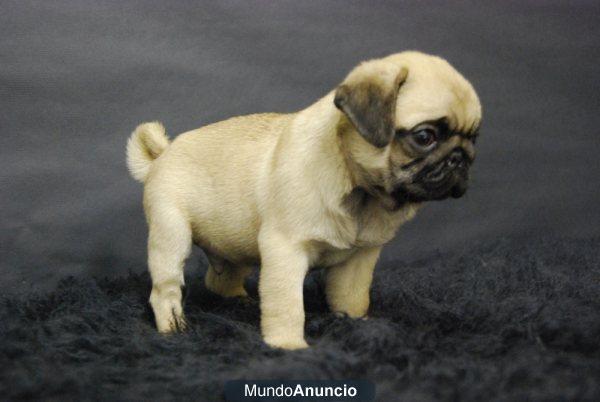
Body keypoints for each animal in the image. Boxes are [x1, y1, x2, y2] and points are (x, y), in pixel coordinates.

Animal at [127, 52, 482, 348]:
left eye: (474, 137)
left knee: (220, 278)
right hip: (171, 235)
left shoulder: (360, 259)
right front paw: (288, 346)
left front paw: (359, 326)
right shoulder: (285, 250)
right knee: (165, 289)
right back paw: (174, 327)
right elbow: (287, 306)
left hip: (233, 246)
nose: (460, 158)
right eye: (425, 136)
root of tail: (162, 154)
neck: (361, 191)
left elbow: (353, 297)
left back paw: (240, 301)